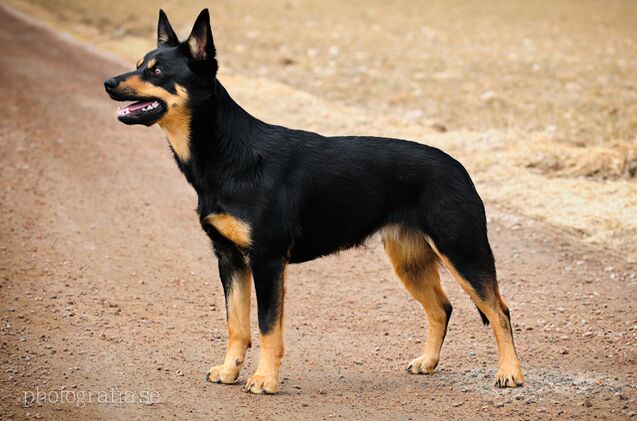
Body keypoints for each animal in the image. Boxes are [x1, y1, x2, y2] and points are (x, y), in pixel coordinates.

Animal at [103, 8, 520, 392]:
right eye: (139, 65)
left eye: (157, 72)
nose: (108, 83)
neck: (229, 154)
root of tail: (459, 168)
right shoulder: (229, 259)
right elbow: (236, 325)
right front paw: (230, 371)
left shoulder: (267, 261)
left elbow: (267, 326)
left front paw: (264, 380)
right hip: (410, 260)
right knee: (441, 309)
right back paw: (428, 362)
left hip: (462, 252)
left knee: (499, 310)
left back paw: (510, 373)